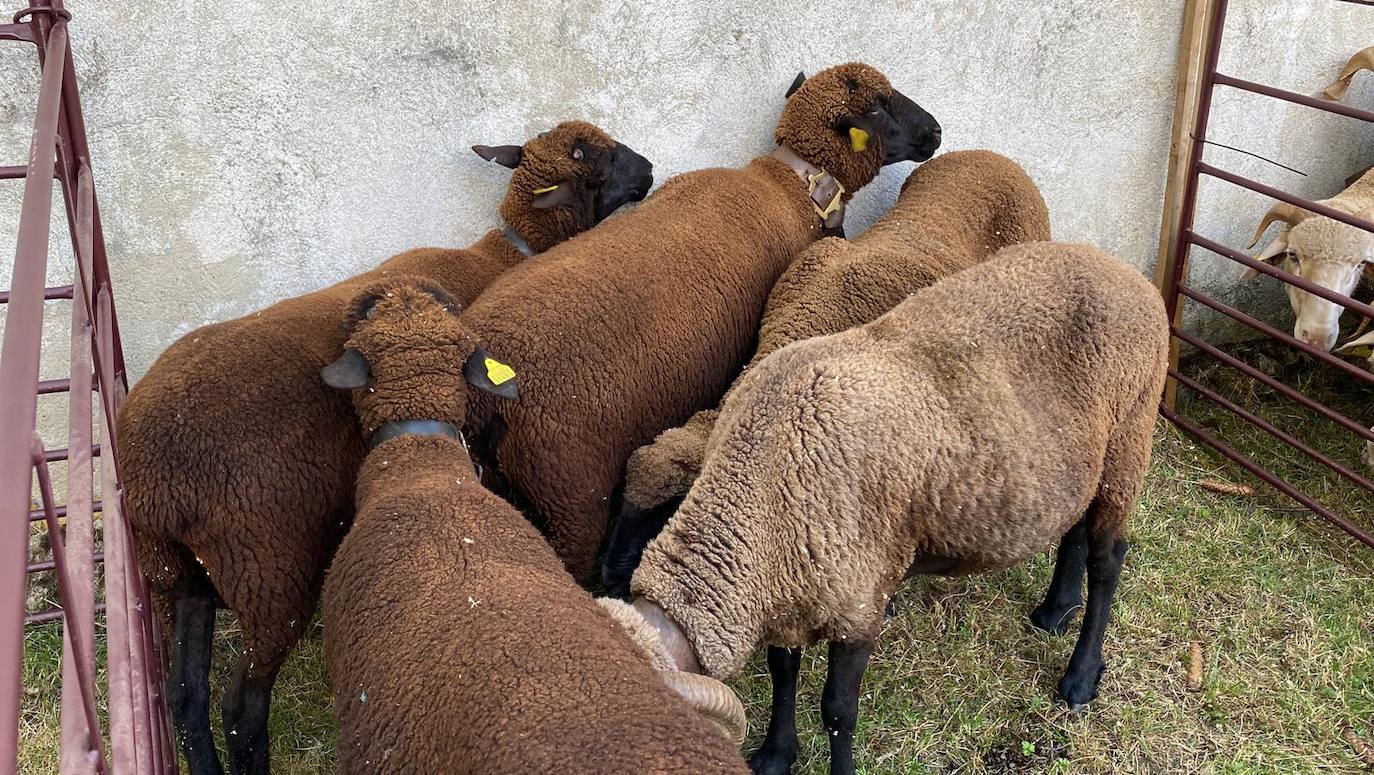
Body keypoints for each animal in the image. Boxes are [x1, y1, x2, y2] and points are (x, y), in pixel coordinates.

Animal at [118, 119, 654, 775]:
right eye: (596, 158)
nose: (650, 170)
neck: (503, 251)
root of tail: (156, 483)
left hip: (176, 575)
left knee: (184, 695)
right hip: (267, 569)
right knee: (241, 706)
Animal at [623, 243, 1170, 775]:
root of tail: (1129, 274)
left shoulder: (859, 603)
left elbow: (838, 711)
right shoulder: (787, 589)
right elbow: (783, 671)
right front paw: (776, 755)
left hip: (1130, 434)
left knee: (1108, 561)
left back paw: (1080, 677)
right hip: (1085, 459)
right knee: (1075, 527)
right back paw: (1056, 610)